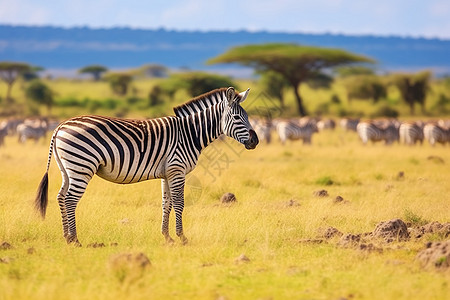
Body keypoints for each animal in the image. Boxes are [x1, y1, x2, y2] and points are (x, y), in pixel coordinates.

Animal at [34, 86, 260, 246]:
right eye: (237, 117)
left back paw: (66, 236)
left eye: (248, 117)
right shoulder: (177, 169)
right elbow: (180, 203)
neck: (190, 133)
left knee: (61, 197)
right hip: (82, 166)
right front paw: (182, 237)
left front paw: (167, 237)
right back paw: (75, 240)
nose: (255, 141)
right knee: (70, 199)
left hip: (68, 168)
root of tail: (61, 126)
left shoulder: (167, 173)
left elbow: (166, 203)